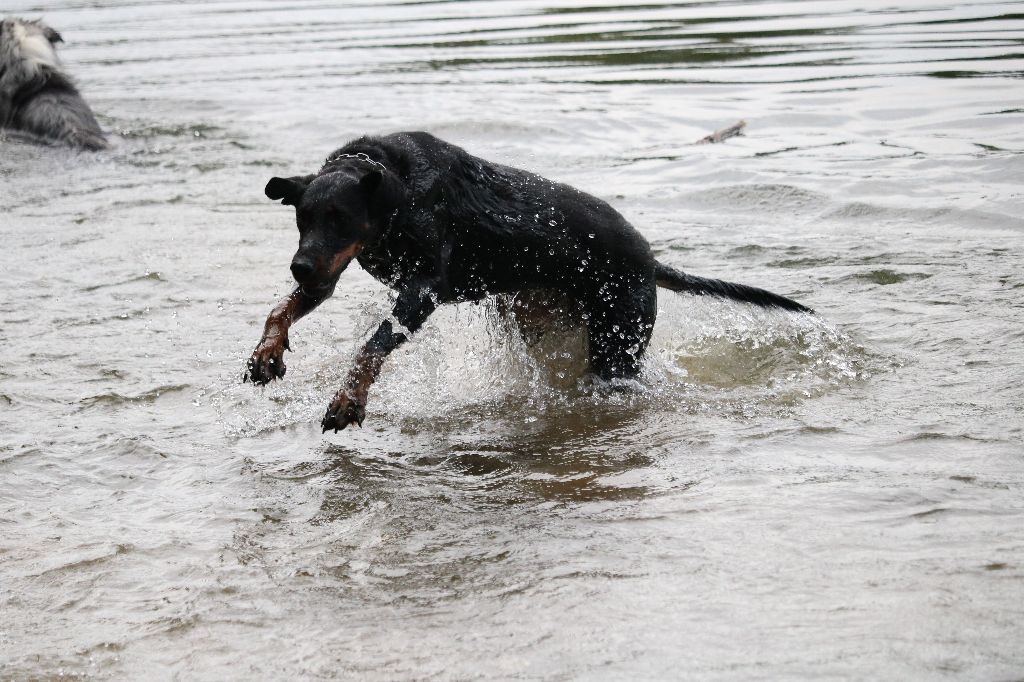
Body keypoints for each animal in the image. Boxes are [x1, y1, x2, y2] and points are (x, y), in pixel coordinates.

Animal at [245, 131, 806, 430]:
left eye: (340, 218)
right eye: (303, 219)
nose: (298, 266)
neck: (396, 190)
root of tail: (650, 258)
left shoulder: (421, 292)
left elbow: (372, 346)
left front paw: (348, 399)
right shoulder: (328, 275)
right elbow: (282, 308)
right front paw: (266, 353)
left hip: (616, 346)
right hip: (545, 326)